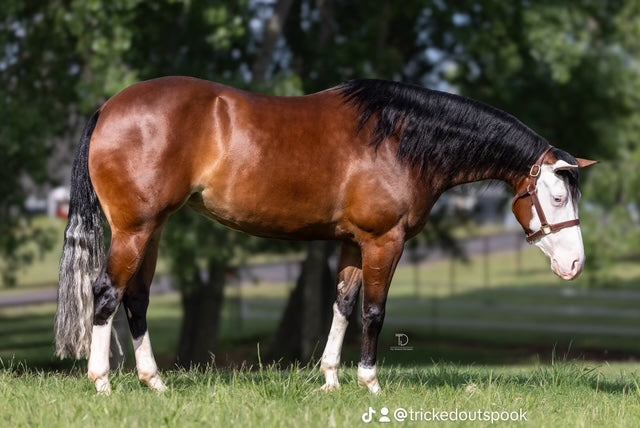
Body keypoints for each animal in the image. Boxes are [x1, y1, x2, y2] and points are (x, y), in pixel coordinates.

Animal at [55, 77, 596, 394]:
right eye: (556, 197)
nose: (575, 266)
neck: (399, 137)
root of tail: (108, 108)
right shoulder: (384, 241)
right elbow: (374, 312)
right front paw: (370, 383)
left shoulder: (353, 242)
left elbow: (343, 304)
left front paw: (332, 380)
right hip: (135, 229)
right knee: (106, 292)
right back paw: (102, 383)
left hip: (152, 229)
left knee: (136, 299)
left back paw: (155, 383)